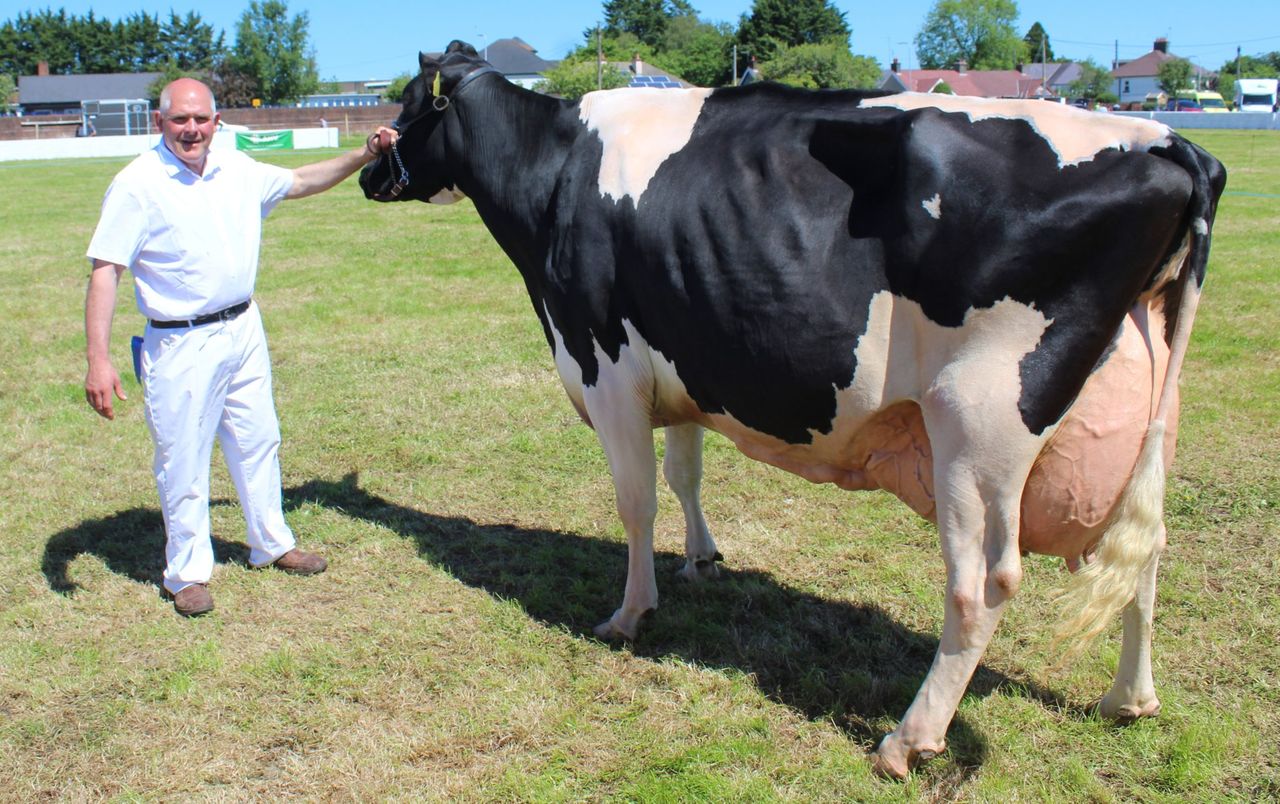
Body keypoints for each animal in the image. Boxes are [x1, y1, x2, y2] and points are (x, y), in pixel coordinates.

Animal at [359, 41, 1226, 778]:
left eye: (409, 101)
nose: (369, 173)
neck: (555, 171)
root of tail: (1166, 141)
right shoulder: (679, 359)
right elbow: (683, 473)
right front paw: (702, 559)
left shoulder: (605, 368)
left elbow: (635, 501)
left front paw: (630, 613)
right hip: (1149, 423)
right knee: (1146, 553)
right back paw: (1128, 700)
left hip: (978, 426)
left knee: (982, 587)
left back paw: (907, 740)